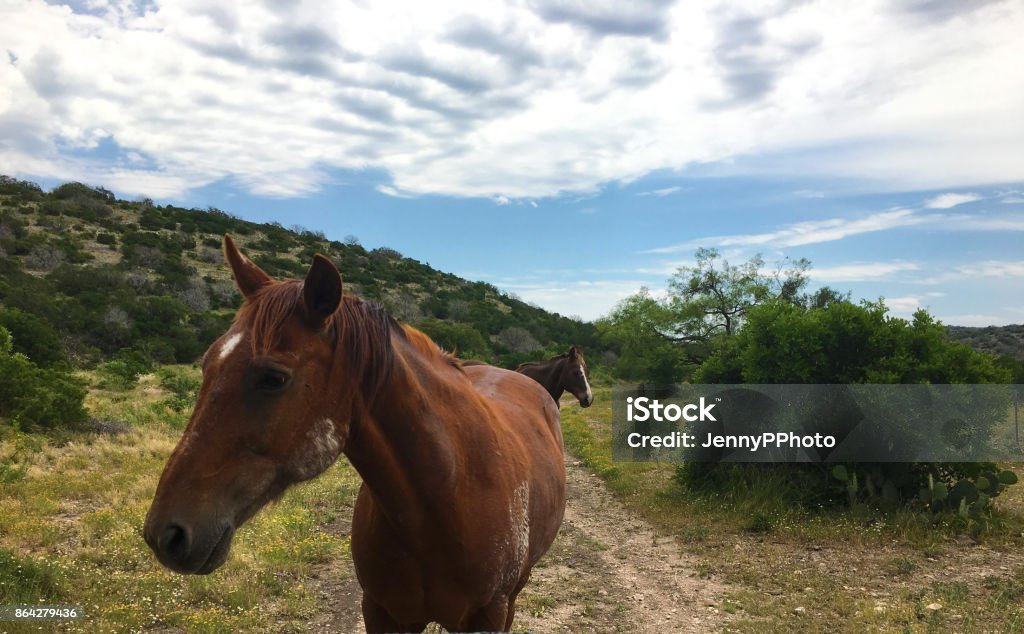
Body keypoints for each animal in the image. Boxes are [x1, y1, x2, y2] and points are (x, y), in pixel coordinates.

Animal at [142, 235, 569, 630]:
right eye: (207, 364)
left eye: (274, 378)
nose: (165, 534)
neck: (450, 495)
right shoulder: (382, 613)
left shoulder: (487, 615)